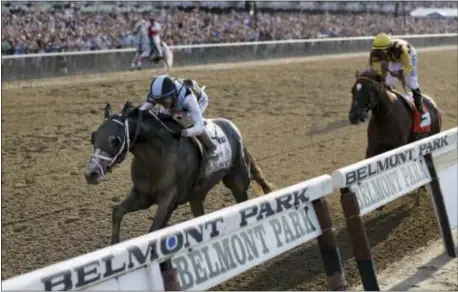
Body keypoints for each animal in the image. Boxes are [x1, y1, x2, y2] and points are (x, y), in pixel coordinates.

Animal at [84, 101, 274, 245]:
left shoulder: (170, 198)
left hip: (237, 181)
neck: (157, 157)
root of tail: (233, 127)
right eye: (93, 137)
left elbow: (153, 230)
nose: (91, 173)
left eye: (115, 140)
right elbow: (117, 211)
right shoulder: (143, 196)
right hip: (197, 194)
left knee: (243, 200)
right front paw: (114, 244)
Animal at [348, 68, 442, 208]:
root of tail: (434, 106)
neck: (384, 117)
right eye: (353, 89)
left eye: (369, 90)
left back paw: (418, 196)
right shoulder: (373, 147)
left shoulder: (398, 147)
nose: (353, 116)